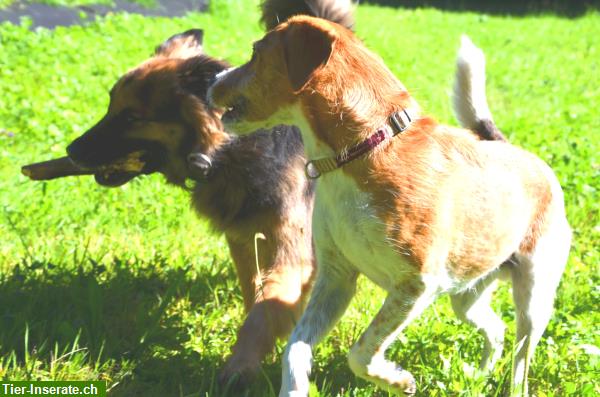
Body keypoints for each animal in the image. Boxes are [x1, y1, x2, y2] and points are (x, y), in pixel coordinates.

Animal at [211, 17, 572, 394]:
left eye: (255, 53)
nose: (213, 81)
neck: (360, 150)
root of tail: (521, 154)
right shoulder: (337, 278)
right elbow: (294, 349)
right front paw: (294, 387)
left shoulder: (416, 286)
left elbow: (360, 353)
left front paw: (399, 380)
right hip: (467, 295)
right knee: (497, 330)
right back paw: (479, 375)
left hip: (533, 297)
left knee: (521, 356)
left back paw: (511, 384)